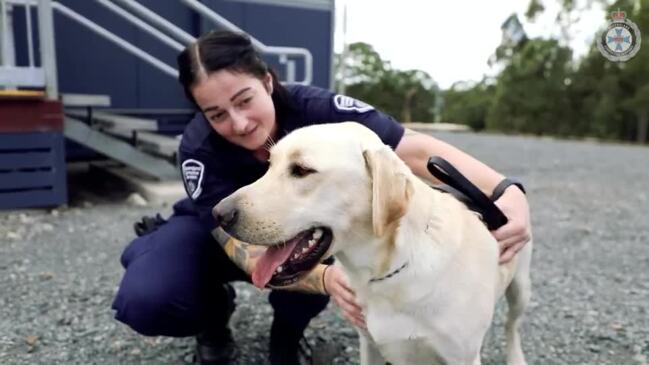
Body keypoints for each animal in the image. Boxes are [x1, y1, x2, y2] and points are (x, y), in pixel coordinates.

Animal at [215, 121, 528, 362]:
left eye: (301, 169)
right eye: (269, 165)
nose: (218, 214)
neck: (388, 272)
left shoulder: (460, 356)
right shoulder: (371, 345)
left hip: (521, 292)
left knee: (512, 326)